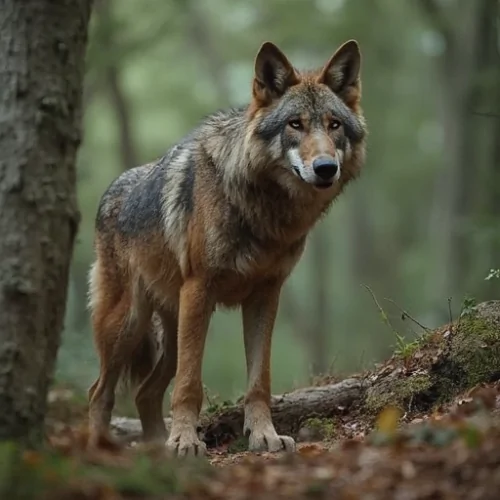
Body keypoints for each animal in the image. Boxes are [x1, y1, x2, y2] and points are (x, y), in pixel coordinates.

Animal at [87, 39, 368, 458]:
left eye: (334, 125)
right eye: (295, 124)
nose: (325, 168)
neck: (261, 207)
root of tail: (110, 191)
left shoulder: (266, 295)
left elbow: (259, 382)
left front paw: (264, 436)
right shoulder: (199, 290)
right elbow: (190, 385)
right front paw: (185, 442)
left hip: (169, 330)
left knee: (145, 393)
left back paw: (155, 447)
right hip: (130, 326)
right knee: (99, 393)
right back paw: (98, 450)